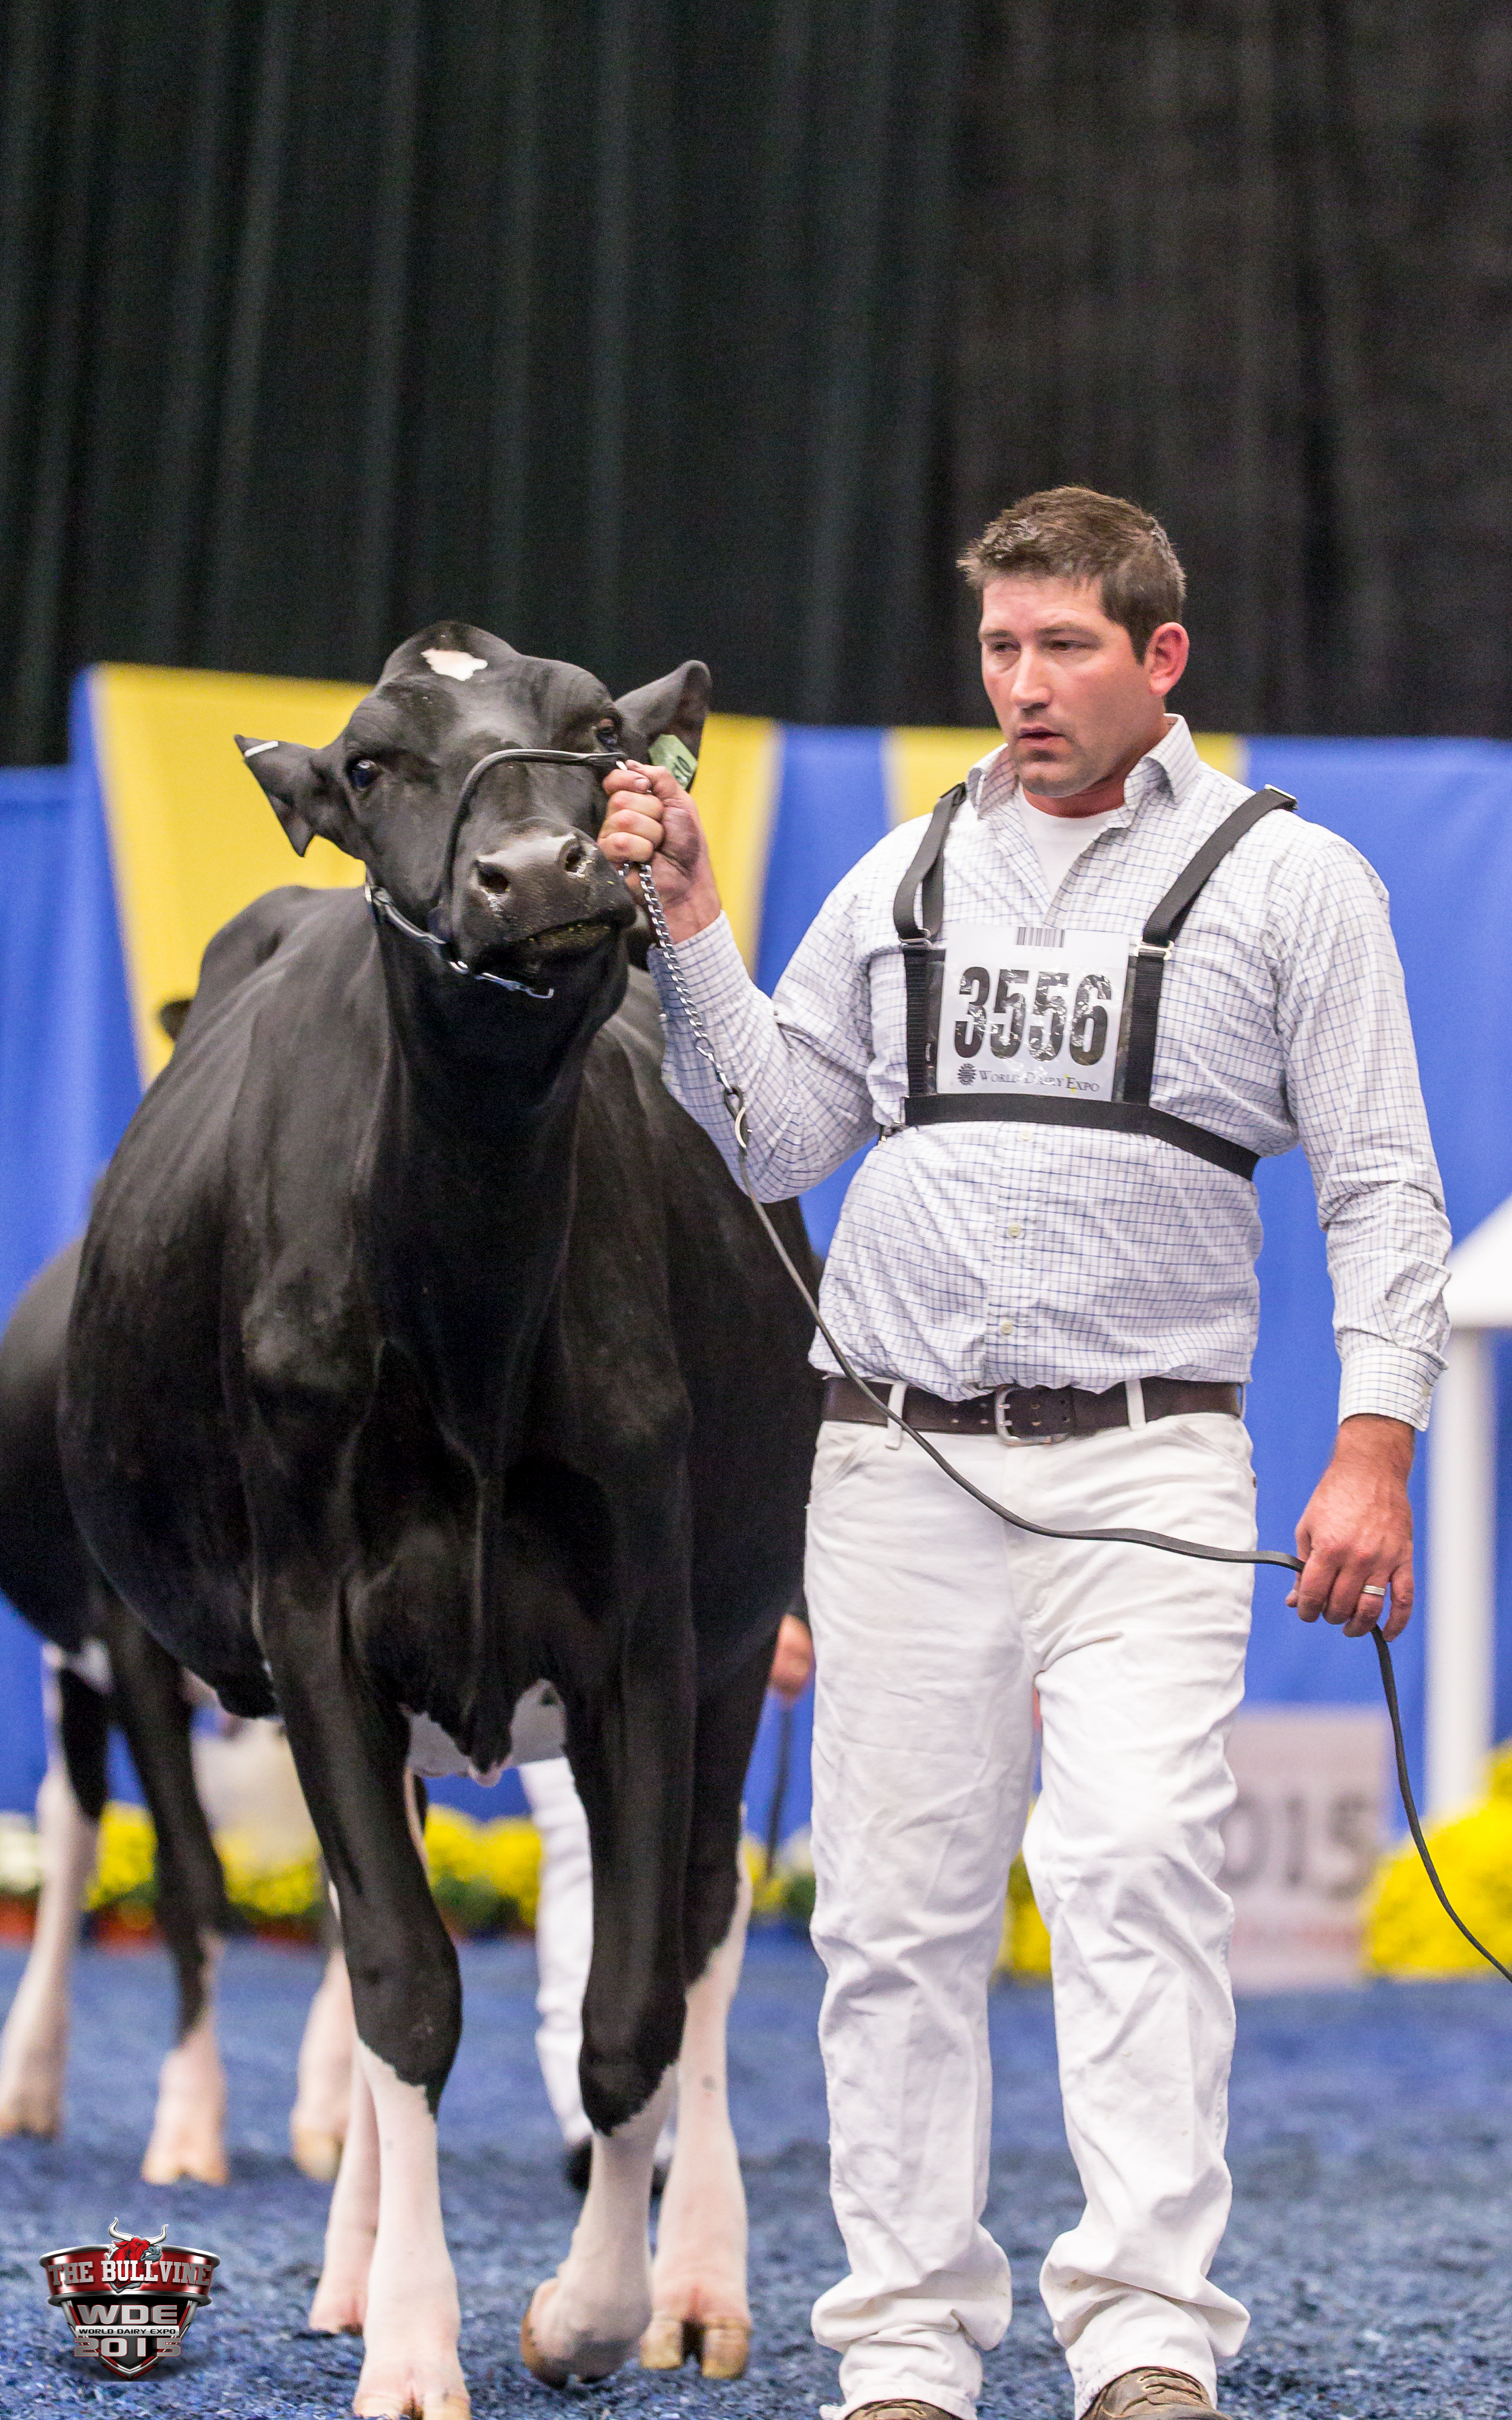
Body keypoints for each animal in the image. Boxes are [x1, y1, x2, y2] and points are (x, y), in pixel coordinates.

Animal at [59, 624, 821, 2418]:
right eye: (371, 762)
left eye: (596, 729)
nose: (533, 868)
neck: (470, 1302)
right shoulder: (312, 1624)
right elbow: (404, 1980)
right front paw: (410, 2343)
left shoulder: (646, 1626)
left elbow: (629, 2002)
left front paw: (593, 2312)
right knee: (368, 1942)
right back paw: (349, 2269)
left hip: (745, 1624)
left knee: (702, 1924)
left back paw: (698, 2284)